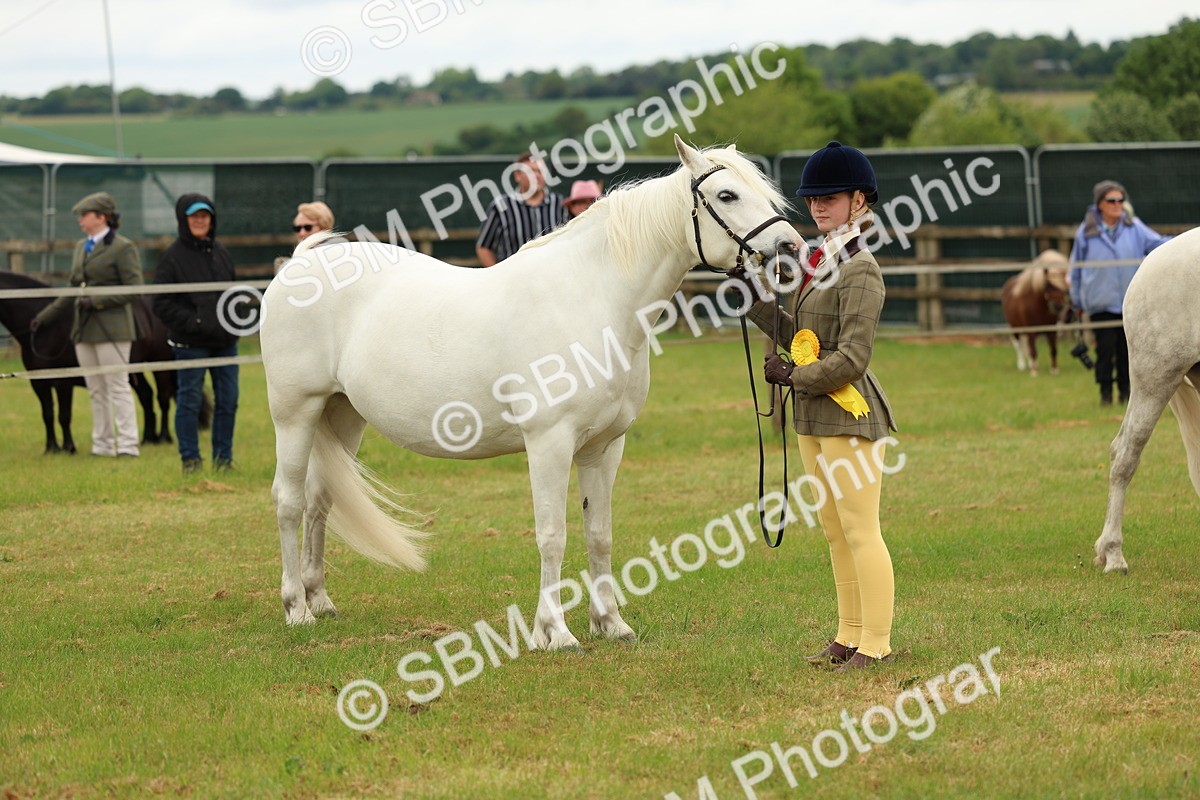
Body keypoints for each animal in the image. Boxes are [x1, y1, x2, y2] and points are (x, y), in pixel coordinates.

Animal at [0, 271, 185, 452]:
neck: (46, 331)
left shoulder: (63, 382)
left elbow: (64, 415)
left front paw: (68, 447)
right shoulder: (38, 383)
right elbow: (48, 414)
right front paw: (51, 447)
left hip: (160, 363)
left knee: (163, 397)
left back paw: (164, 437)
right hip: (133, 370)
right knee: (146, 395)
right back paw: (148, 438)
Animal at [260, 136, 802, 640]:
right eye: (727, 194)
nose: (791, 249)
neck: (592, 300)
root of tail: (297, 266)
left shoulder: (605, 447)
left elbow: (599, 533)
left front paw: (610, 623)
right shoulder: (549, 442)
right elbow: (552, 535)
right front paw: (554, 631)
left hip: (342, 415)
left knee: (320, 500)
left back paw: (320, 600)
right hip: (295, 414)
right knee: (289, 501)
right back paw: (296, 609)